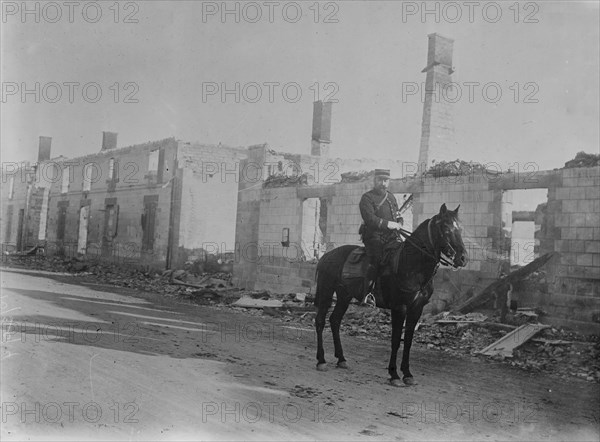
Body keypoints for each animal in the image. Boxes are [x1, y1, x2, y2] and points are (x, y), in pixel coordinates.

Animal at [314, 204, 468, 386]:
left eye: (460, 228)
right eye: (445, 227)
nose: (463, 258)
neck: (412, 266)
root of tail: (326, 256)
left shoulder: (416, 309)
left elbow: (407, 341)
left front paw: (407, 374)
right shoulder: (399, 308)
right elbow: (395, 340)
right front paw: (394, 374)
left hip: (344, 296)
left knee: (335, 320)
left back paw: (341, 359)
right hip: (326, 292)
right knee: (320, 321)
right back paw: (321, 360)